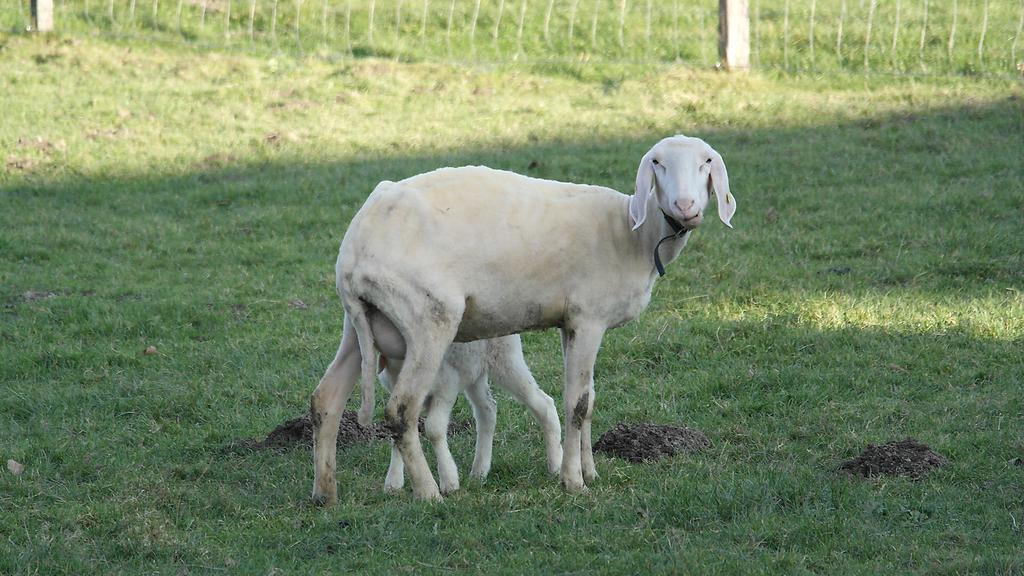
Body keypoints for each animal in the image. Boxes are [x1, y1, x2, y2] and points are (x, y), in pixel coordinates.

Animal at [376, 334, 561, 491]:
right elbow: (398, 430)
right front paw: (393, 482)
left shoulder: (446, 387)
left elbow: (434, 429)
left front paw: (449, 481)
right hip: (474, 370)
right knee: (487, 410)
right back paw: (479, 471)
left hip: (505, 359)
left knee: (544, 404)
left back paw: (555, 466)